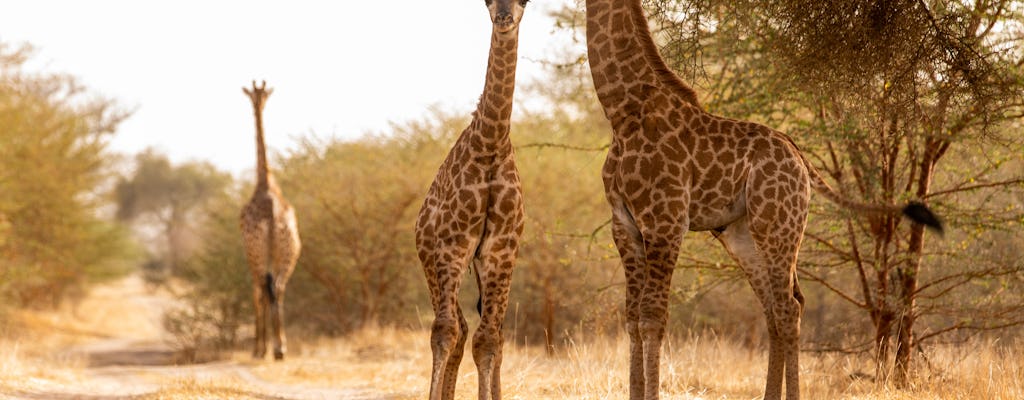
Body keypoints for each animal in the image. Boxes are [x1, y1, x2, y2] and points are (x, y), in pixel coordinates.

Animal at [413, 1, 532, 398]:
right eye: (487, 1)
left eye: (526, 1)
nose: (505, 18)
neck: (491, 143)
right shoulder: (452, 245)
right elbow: (444, 331)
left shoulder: (500, 251)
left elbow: (489, 339)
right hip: (430, 258)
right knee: (455, 327)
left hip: (481, 266)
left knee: (483, 330)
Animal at [585, 1, 942, 398]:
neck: (623, 112)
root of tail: (799, 157)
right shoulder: (624, 226)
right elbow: (632, 317)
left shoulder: (666, 221)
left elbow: (652, 317)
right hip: (743, 235)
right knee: (777, 307)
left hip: (778, 225)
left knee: (787, 307)